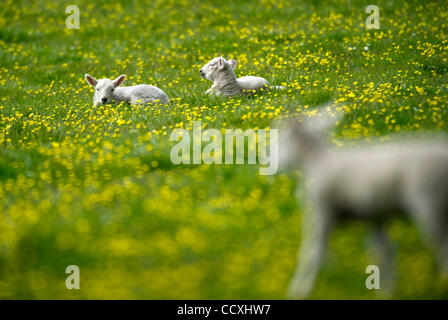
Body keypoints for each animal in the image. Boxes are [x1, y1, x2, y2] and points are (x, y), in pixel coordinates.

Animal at [278, 108, 448, 300]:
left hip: (429, 206)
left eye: (283, 142)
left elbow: (313, 251)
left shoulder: (324, 213)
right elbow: (382, 251)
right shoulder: (374, 216)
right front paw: (385, 290)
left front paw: (300, 289)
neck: (320, 161)